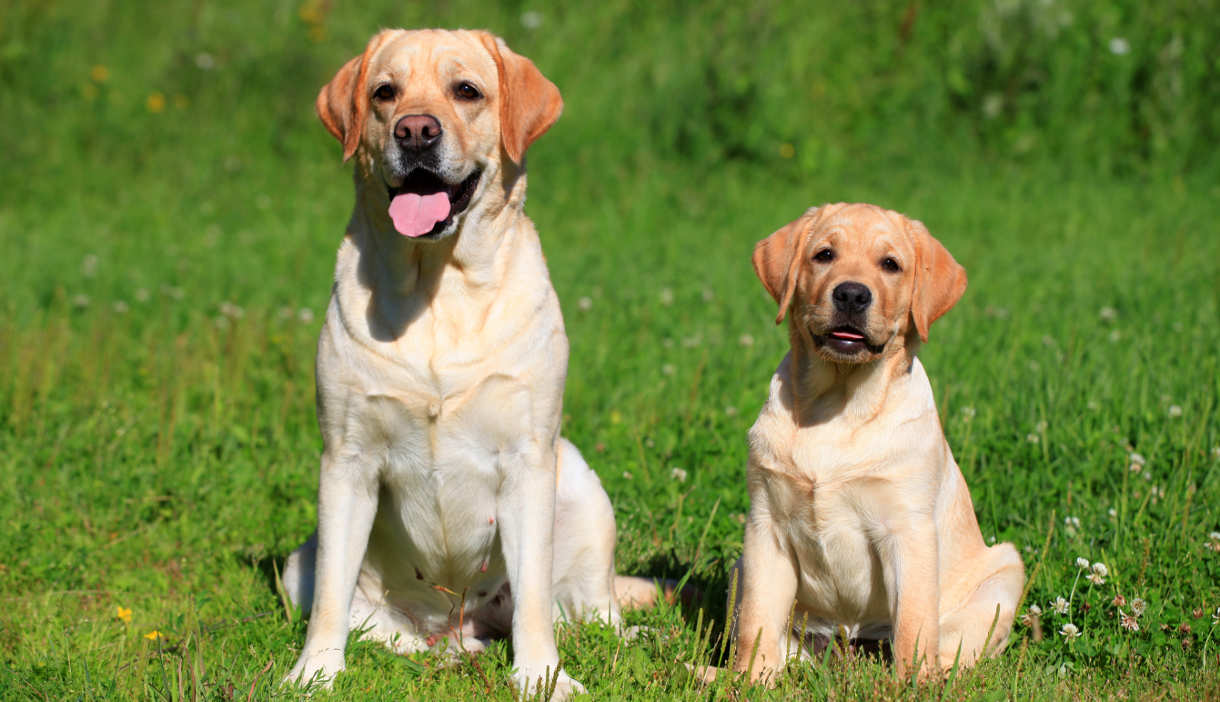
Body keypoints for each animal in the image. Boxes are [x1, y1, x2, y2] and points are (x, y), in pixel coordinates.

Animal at [281, 27, 658, 698]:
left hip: (581, 489)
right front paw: (316, 673)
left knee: (593, 613)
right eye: (384, 93)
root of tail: (456, 624)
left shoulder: (528, 459)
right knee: (372, 622)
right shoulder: (346, 460)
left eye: (467, 91)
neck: (439, 291)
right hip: (299, 559)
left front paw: (542, 677)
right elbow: (330, 596)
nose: (415, 131)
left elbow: (534, 601)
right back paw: (438, 654)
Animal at [727, 201, 1024, 683]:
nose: (851, 295)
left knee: (952, 646)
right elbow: (757, 622)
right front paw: (750, 682)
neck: (839, 404)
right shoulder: (765, 526)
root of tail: (849, 642)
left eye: (890, 265)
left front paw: (911, 685)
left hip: (1003, 572)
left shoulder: (907, 530)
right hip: (742, 569)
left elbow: (914, 624)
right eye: (824, 255)